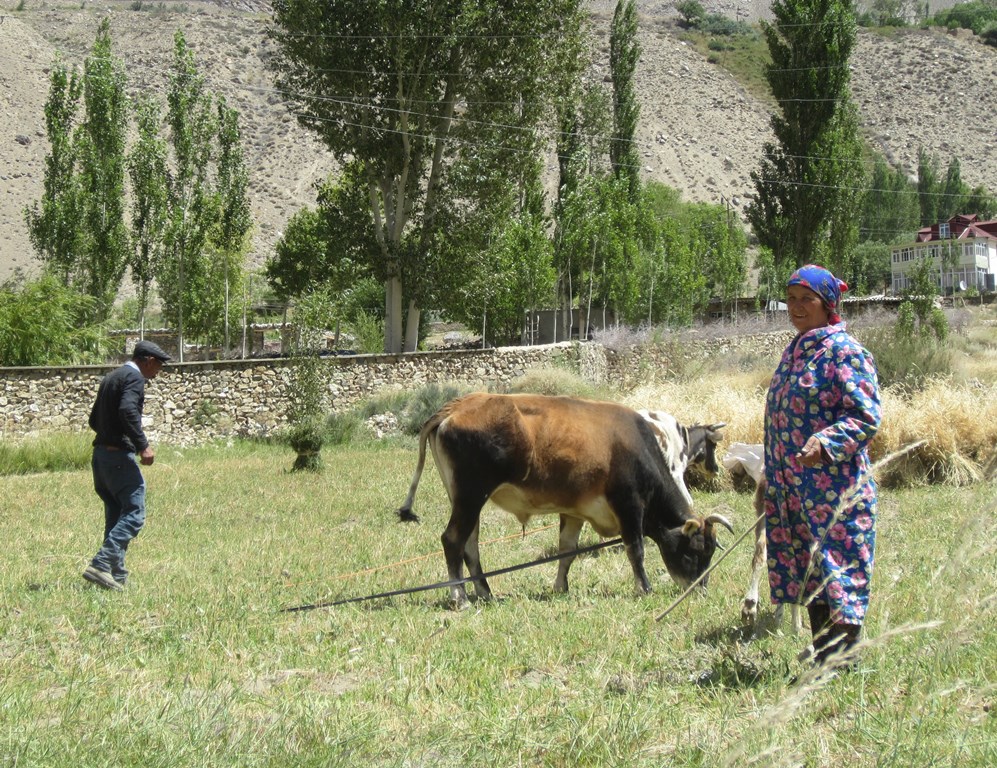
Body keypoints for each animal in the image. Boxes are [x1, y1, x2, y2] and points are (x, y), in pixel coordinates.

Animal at [396, 392, 732, 608]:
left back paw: (485, 592)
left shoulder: (575, 512)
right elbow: (635, 550)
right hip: (470, 496)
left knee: (470, 544)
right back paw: (461, 597)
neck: (636, 446)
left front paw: (560, 587)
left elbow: (567, 552)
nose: (699, 589)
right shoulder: (629, 505)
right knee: (452, 540)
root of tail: (457, 406)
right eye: (696, 550)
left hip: (466, 501)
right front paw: (644, 588)